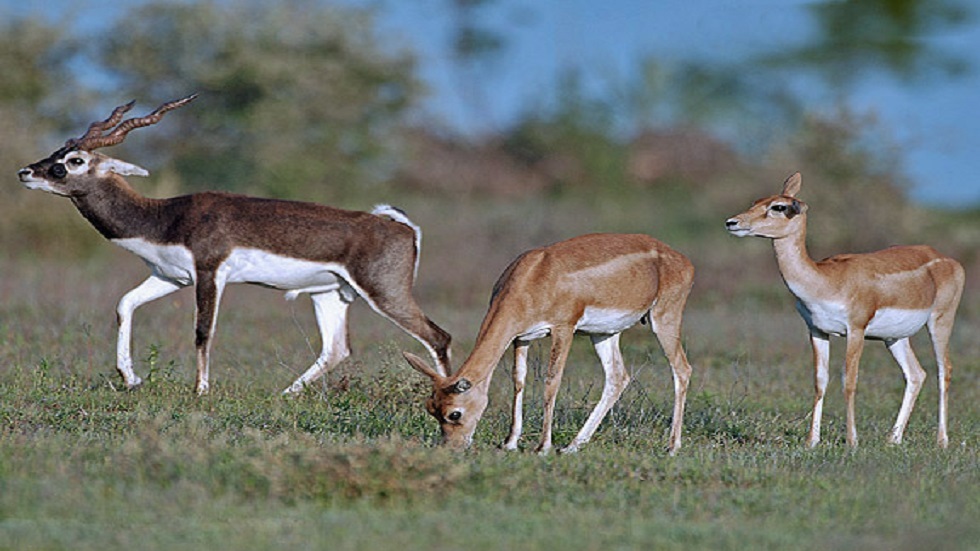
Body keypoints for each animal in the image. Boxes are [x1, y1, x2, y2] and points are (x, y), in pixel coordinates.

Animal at [15, 96, 452, 396]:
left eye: (74, 160)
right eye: (59, 151)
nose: (25, 172)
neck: (167, 216)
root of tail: (399, 226)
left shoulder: (210, 273)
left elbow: (202, 331)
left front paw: (200, 391)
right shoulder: (170, 277)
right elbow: (124, 305)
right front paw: (131, 378)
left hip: (385, 293)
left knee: (438, 337)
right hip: (329, 294)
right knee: (336, 350)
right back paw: (285, 395)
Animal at [406, 233, 696, 452]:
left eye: (454, 413)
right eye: (431, 408)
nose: (451, 448)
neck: (533, 277)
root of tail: (682, 260)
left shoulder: (563, 329)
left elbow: (550, 382)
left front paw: (542, 446)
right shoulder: (521, 338)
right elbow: (518, 381)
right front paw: (510, 443)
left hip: (664, 319)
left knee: (682, 369)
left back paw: (672, 447)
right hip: (604, 334)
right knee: (617, 377)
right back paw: (573, 446)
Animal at [728, 172, 964, 448]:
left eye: (778, 207)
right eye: (756, 201)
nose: (732, 222)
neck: (826, 280)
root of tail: (948, 259)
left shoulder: (856, 330)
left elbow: (848, 381)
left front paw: (852, 441)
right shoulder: (817, 330)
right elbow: (820, 381)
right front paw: (811, 441)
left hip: (940, 321)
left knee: (944, 370)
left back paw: (941, 441)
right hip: (895, 337)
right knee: (916, 374)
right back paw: (892, 439)